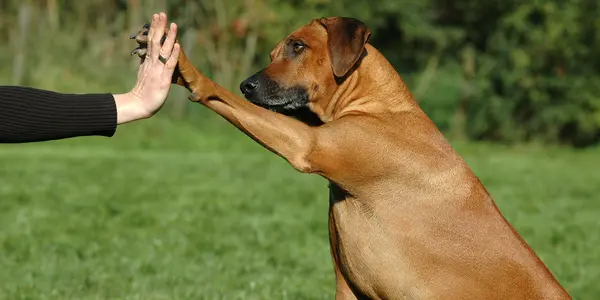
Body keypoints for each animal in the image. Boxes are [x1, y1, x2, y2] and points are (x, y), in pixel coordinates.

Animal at [131, 17, 572, 300]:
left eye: (298, 47)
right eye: (274, 52)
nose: (247, 85)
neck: (378, 106)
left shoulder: (307, 145)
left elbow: (219, 94)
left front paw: (182, 66)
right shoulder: (347, 285)